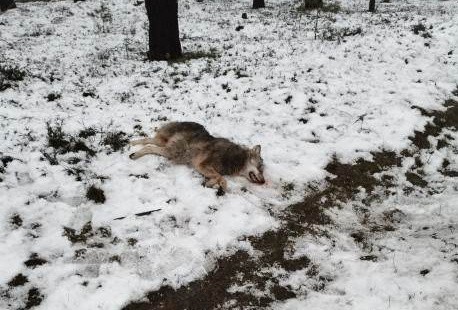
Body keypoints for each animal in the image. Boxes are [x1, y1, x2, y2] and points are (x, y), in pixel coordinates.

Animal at [129, 121, 264, 191]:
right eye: (261, 167)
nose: (263, 181)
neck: (237, 159)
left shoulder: (202, 167)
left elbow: (218, 176)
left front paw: (210, 183)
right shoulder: (202, 165)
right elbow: (221, 177)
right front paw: (221, 186)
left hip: (164, 144)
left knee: (147, 140)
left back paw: (132, 144)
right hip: (174, 151)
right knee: (149, 147)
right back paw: (134, 154)